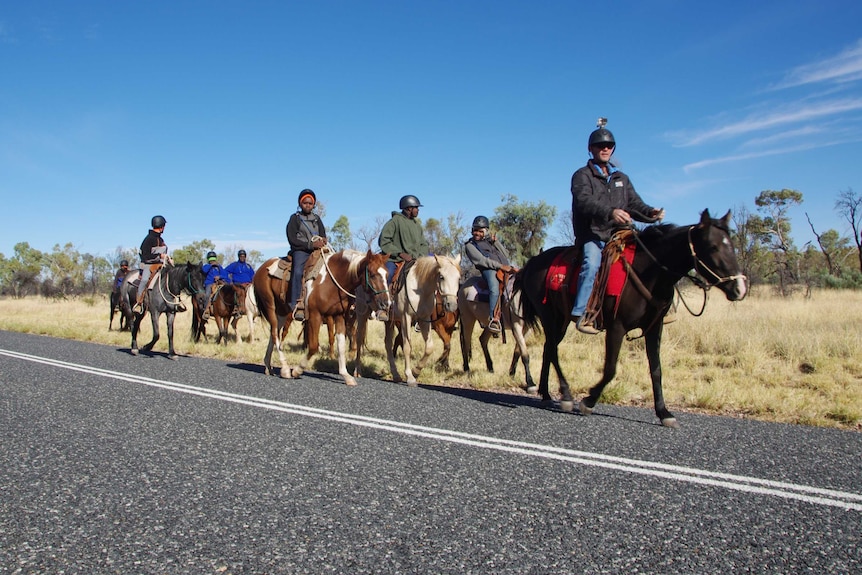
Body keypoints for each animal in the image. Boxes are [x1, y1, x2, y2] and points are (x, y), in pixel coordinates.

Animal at [386, 256, 466, 388]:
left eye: (458, 278)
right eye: (441, 276)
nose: (452, 305)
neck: (420, 291)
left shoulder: (426, 320)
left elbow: (431, 347)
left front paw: (416, 371)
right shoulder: (407, 317)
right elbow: (407, 346)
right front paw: (410, 377)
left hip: (390, 321)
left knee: (389, 343)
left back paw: (395, 373)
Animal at [512, 212, 748, 428]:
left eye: (731, 246)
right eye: (713, 246)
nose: (740, 288)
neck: (648, 272)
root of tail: (532, 262)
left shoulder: (654, 329)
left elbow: (656, 370)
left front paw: (664, 412)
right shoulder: (617, 327)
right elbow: (610, 369)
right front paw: (589, 401)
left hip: (560, 320)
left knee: (548, 349)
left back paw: (546, 394)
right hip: (550, 316)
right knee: (552, 349)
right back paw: (566, 395)